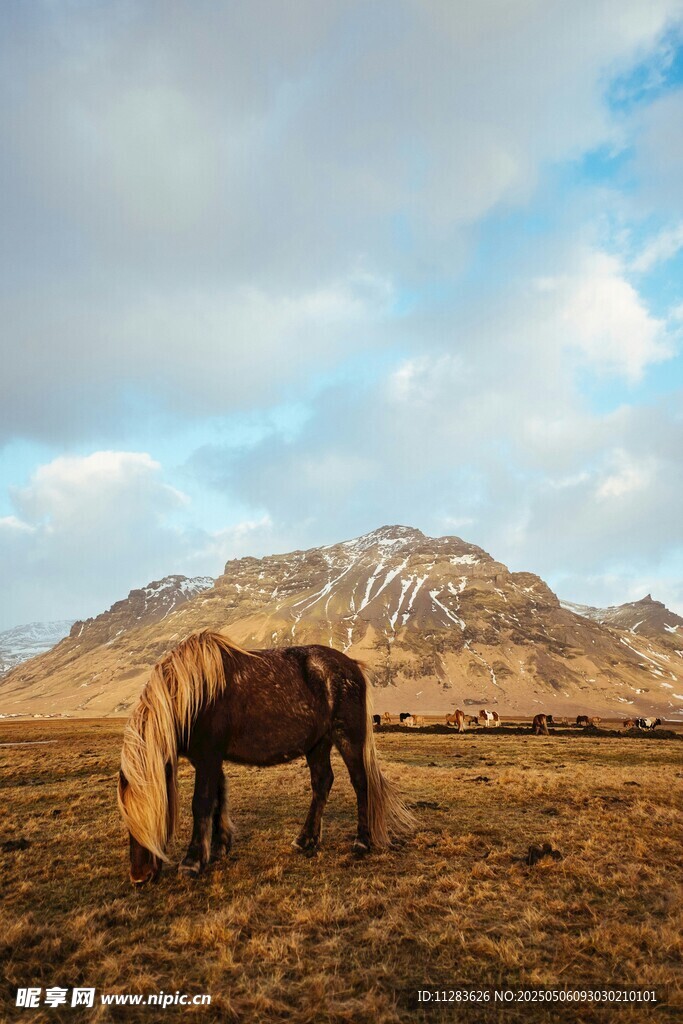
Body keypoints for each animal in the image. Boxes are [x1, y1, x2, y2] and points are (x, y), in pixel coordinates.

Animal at [118, 630, 415, 886]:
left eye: (150, 814)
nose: (139, 877)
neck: (194, 694)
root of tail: (352, 666)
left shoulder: (208, 758)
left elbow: (201, 803)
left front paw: (192, 862)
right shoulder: (211, 760)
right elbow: (218, 798)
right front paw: (219, 846)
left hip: (347, 738)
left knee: (360, 783)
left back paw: (361, 842)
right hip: (317, 744)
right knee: (322, 783)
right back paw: (305, 840)